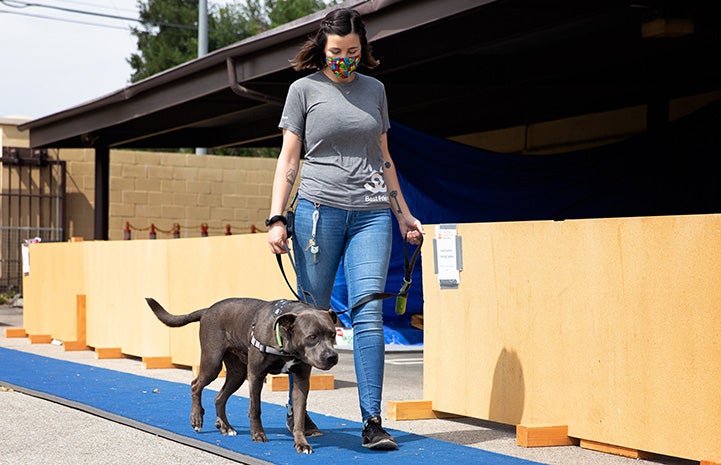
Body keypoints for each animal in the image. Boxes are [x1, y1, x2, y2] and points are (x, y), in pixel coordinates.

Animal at [146, 298, 340, 454]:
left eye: (332, 334)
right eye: (312, 337)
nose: (332, 357)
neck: (284, 340)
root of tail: (208, 310)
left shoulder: (301, 381)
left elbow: (299, 416)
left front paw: (301, 443)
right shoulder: (255, 375)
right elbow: (255, 409)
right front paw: (258, 434)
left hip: (237, 374)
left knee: (219, 397)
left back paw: (225, 426)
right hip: (212, 363)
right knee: (195, 385)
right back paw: (197, 418)